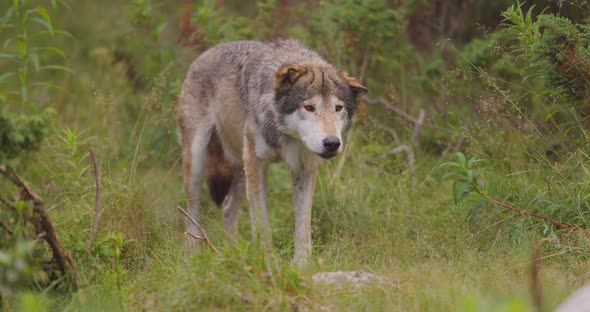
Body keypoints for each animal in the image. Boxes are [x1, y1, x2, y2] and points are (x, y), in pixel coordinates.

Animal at [178, 38, 368, 264]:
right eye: (309, 107)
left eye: (338, 108)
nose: (331, 143)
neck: (285, 135)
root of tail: (205, 53)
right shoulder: (256, 163)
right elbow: (261, 223)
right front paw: (268, 260)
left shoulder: (304, 168)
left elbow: (303, 225)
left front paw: (302, 264)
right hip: (198, 162)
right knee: (192, 211)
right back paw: (192, 255)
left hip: (241, 172)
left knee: (228, 209)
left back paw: (234, 254)